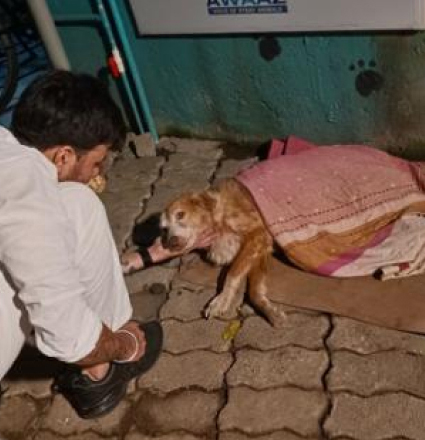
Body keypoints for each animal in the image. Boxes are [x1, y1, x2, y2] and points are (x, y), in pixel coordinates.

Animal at [159, 179, 284, 326]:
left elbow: (232, 273)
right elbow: (254, 290)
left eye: (180, 214)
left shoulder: (259, 233)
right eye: (164, 229)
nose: (172, 242)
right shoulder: (261, 247)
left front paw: (222, 299)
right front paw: (271, 313)